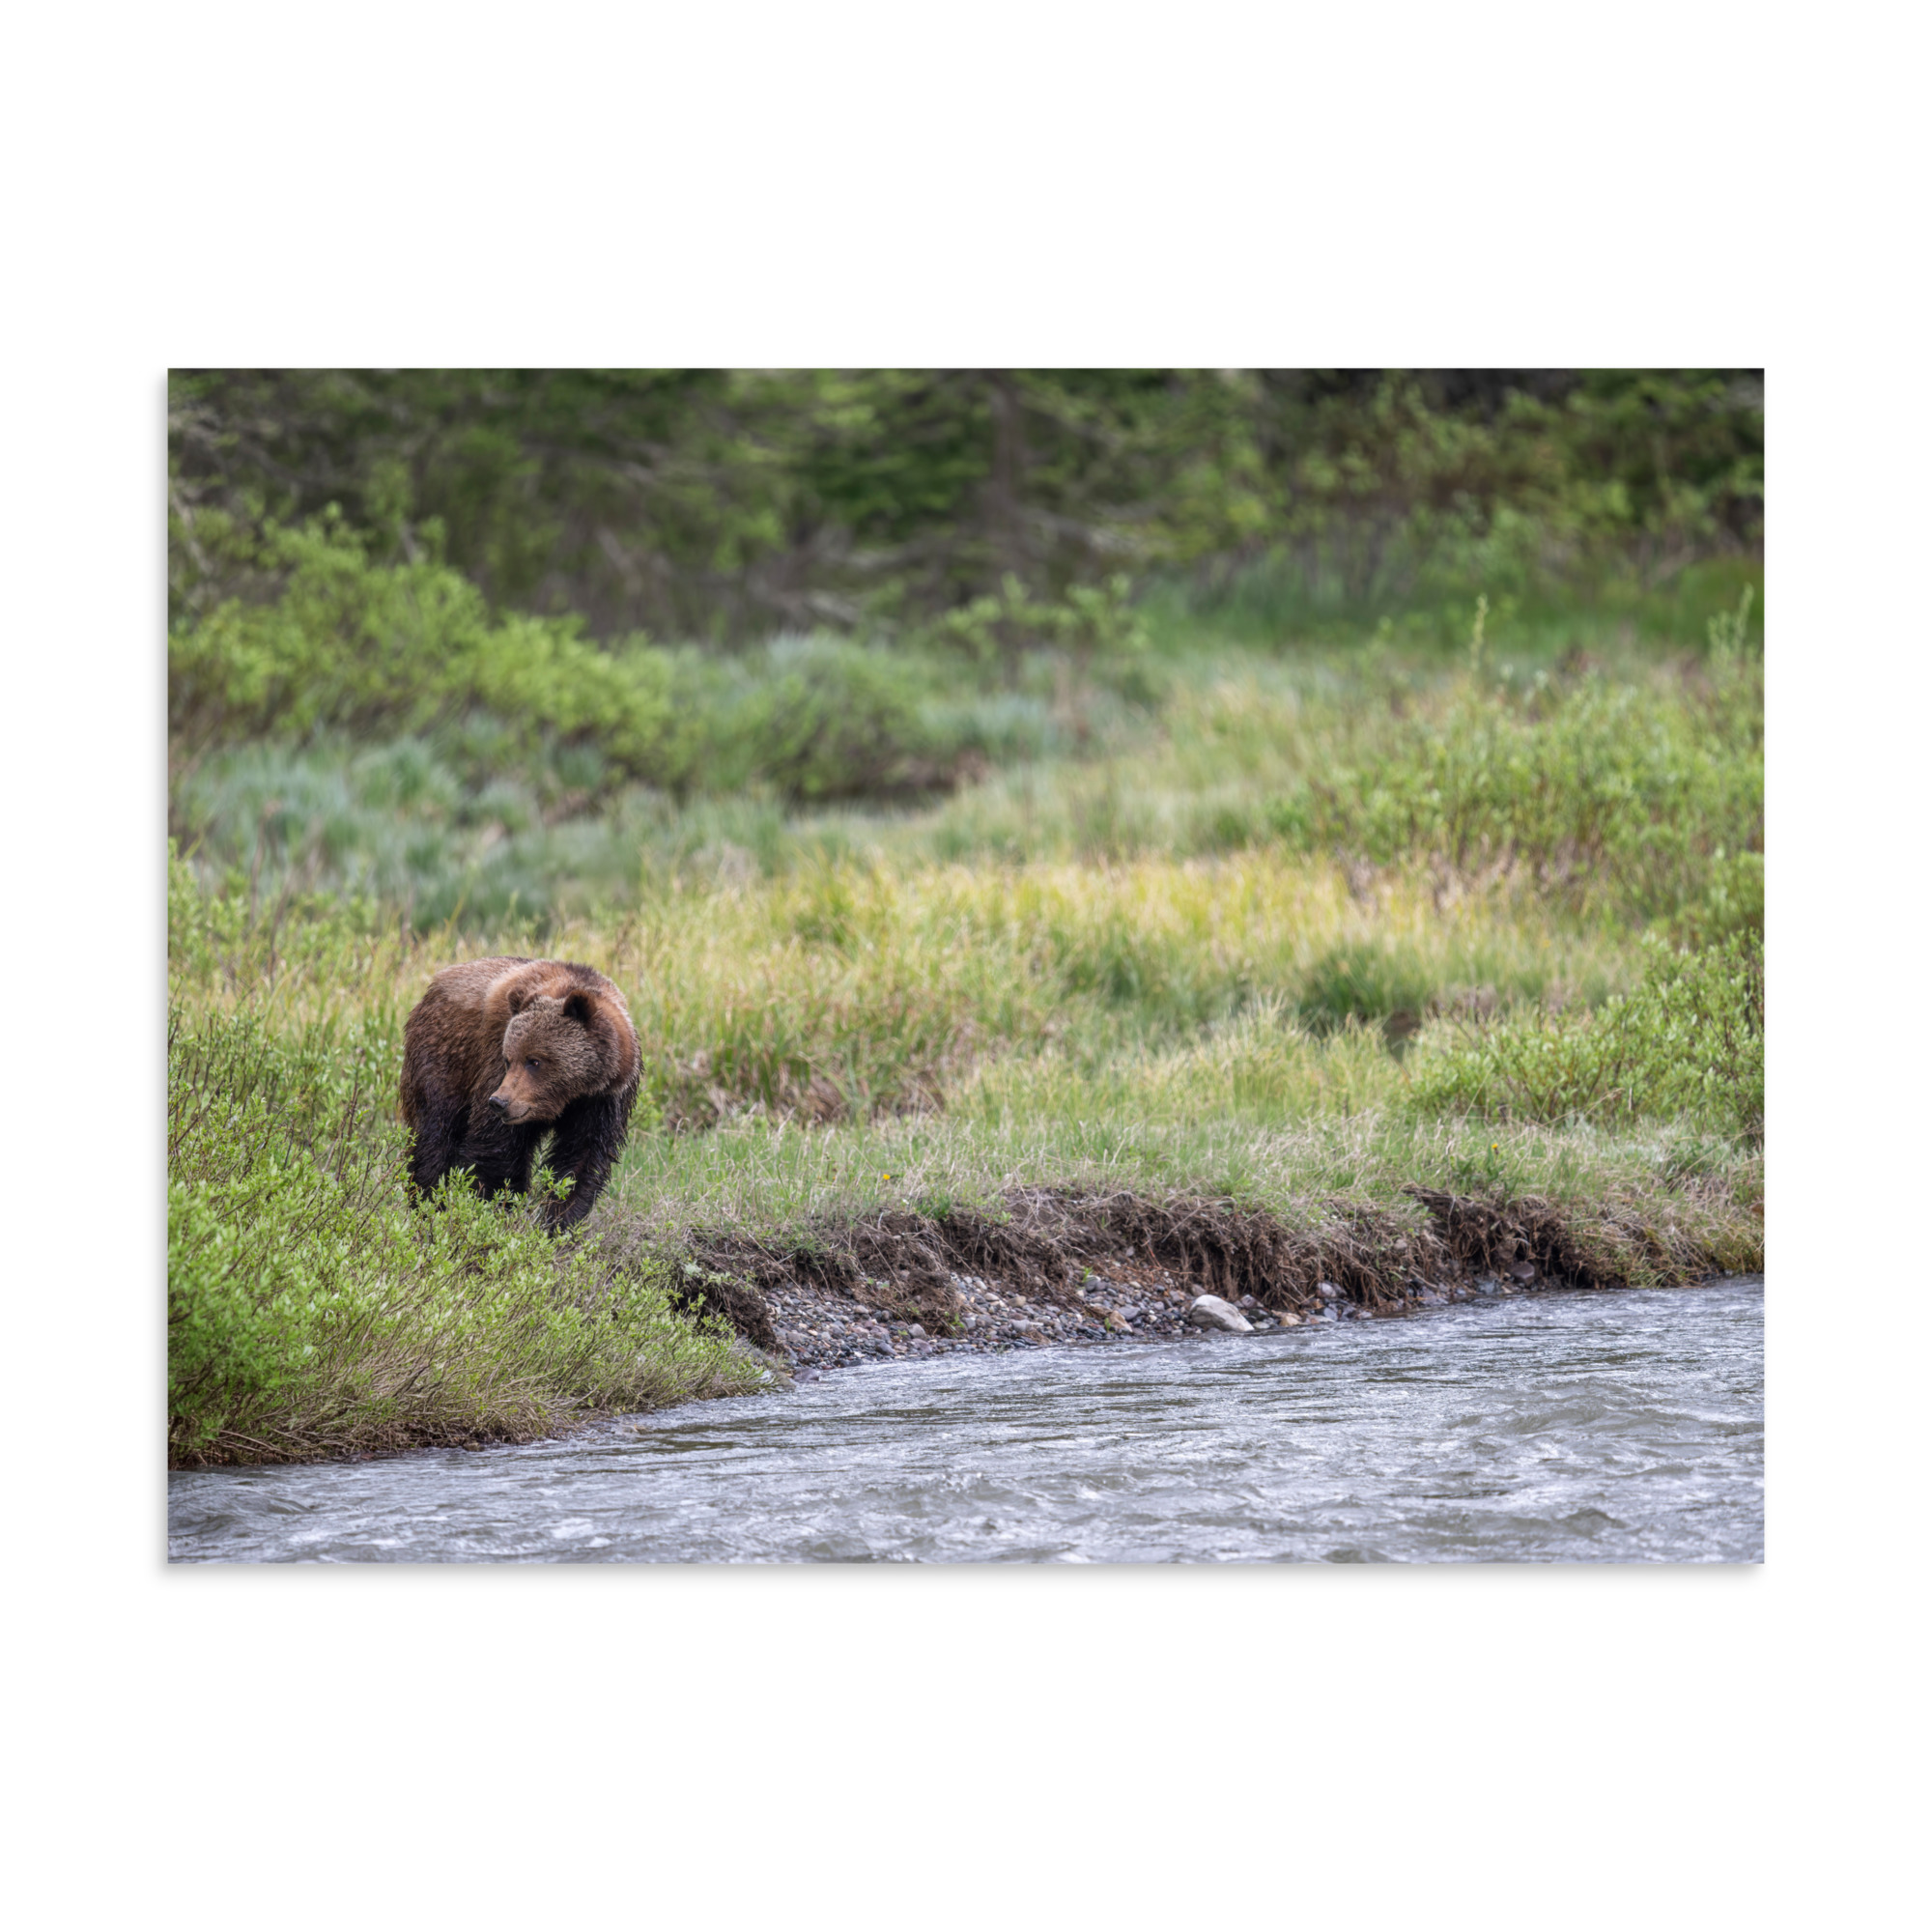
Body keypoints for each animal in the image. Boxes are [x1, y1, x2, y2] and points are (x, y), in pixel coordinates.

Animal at [399, 956, 642, 1232]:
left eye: (534, 1061)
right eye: (509, 1059)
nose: (499, 1102)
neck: (570, 1095)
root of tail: (434, 985)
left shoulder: (603, 1101)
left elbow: (580, 1161)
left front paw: (559, 1223)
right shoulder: (493, 1063)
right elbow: (496, 1150)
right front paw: (495, 1212)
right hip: (444, 1059)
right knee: (434, 1137)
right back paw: (427, 1207)